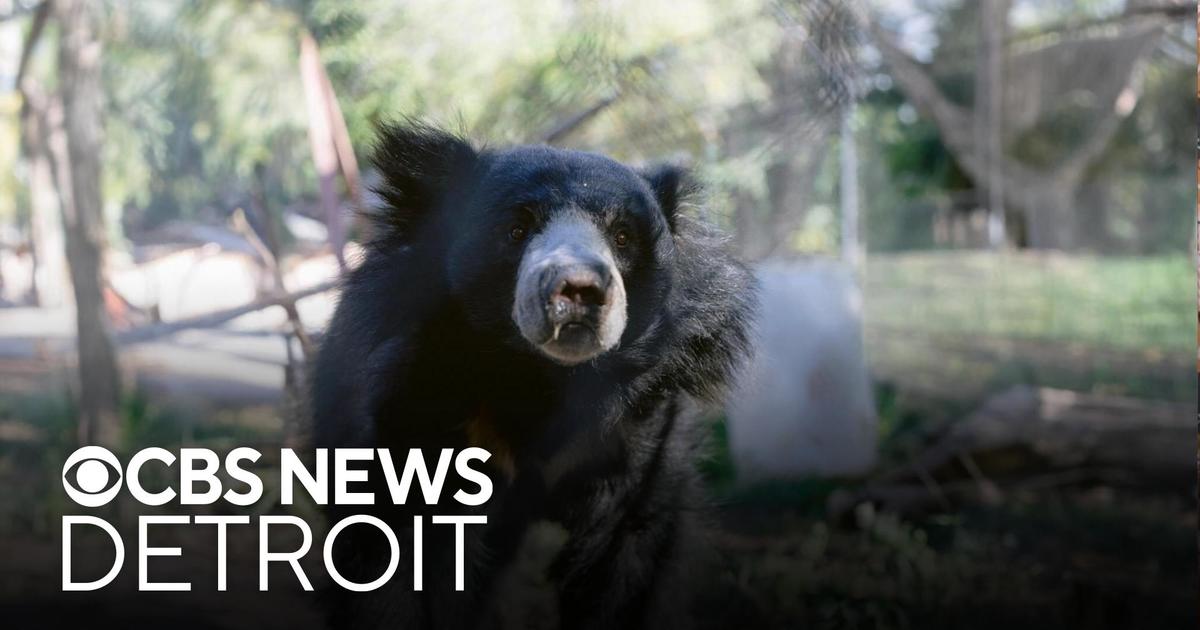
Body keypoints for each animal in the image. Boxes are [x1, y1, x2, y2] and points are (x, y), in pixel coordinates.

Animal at [314, 120, 753, 624]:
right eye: (517, 229)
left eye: (623, 236)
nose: (579, 291)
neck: (537, 376)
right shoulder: (418, 398)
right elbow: (403, 545)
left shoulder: (640, 425)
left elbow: (624, 553)